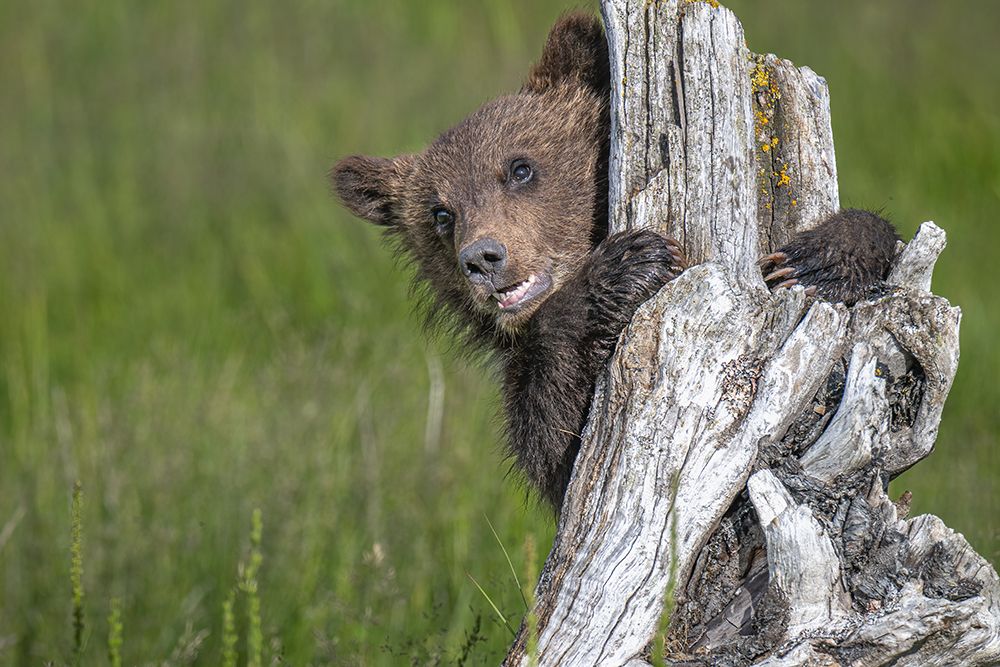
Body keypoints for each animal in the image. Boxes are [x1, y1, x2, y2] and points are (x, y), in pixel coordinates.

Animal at [332, 13, 899, 512]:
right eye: (441, 214)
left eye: (520, 168)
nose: (483, 257)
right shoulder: (540, 405)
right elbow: (557, 447)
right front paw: (627, 266)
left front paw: (818, 258)